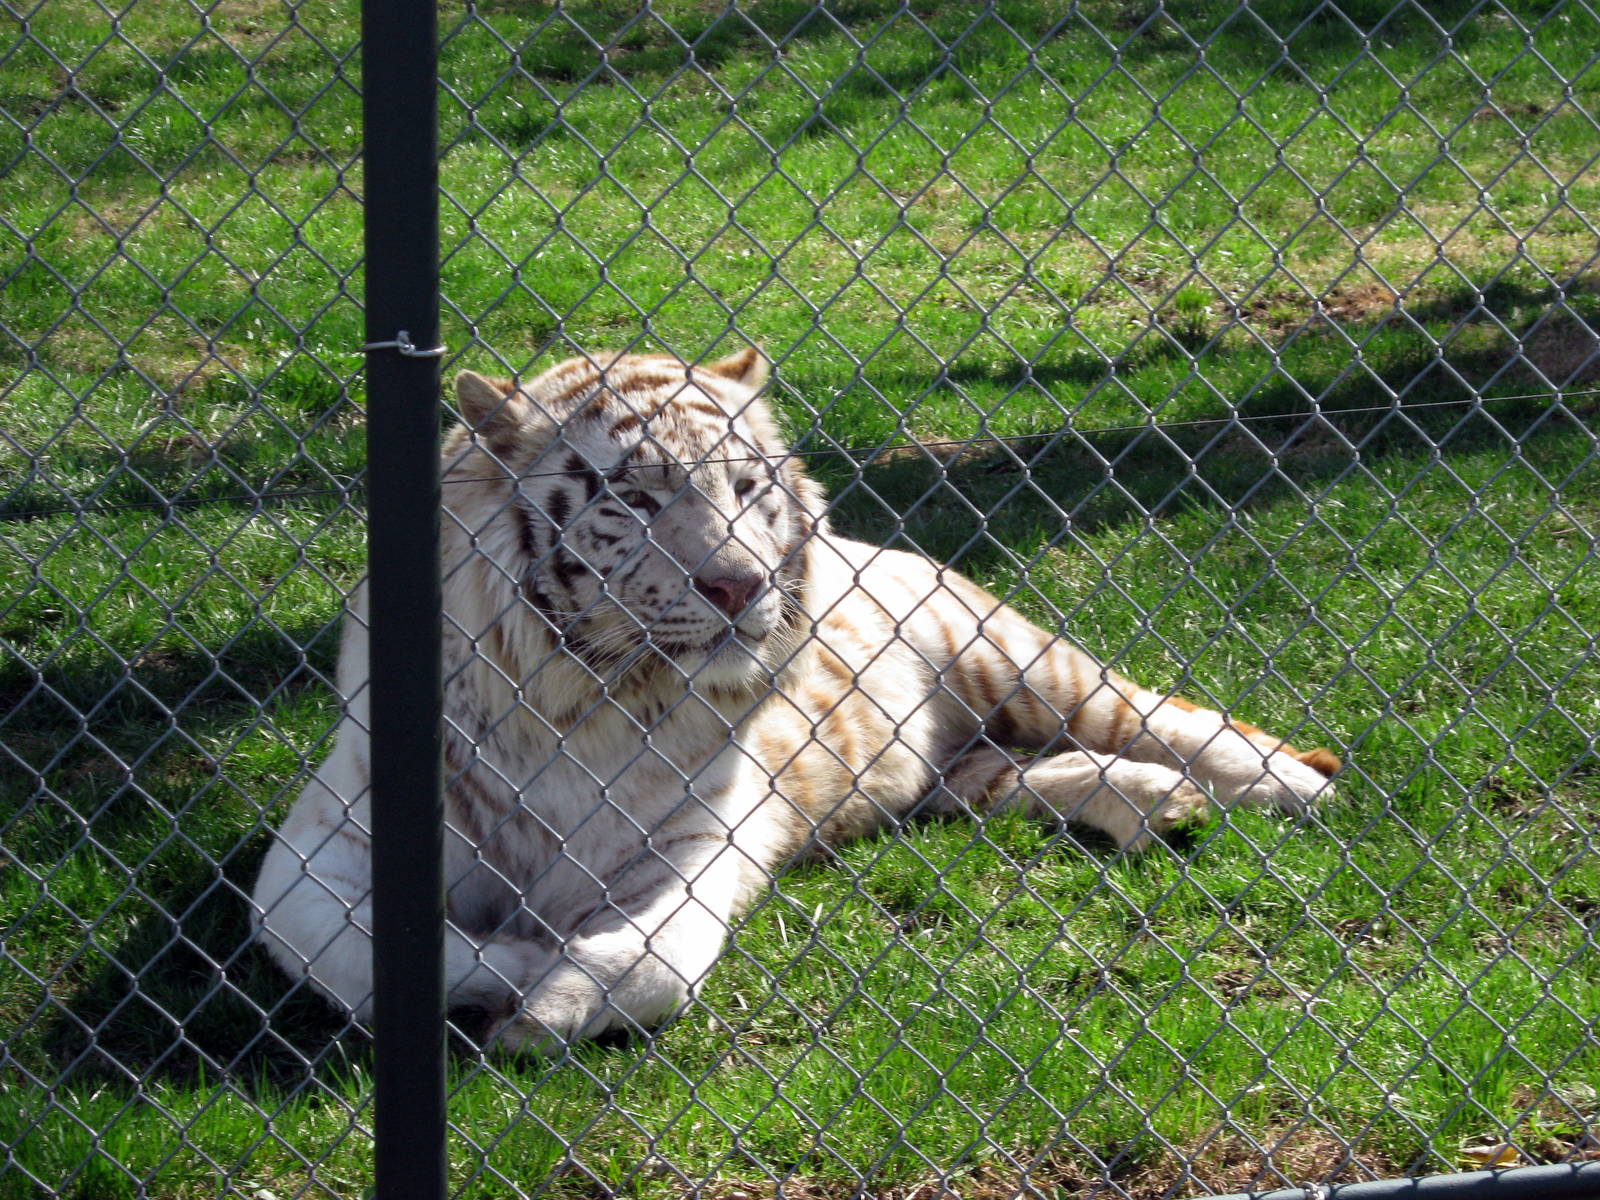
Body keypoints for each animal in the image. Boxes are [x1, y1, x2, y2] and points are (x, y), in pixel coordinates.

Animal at [252, 347, 1339, 1052]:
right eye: (634, 500)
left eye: (744, 488)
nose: (737, 585)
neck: (583, 700)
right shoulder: (315, 853)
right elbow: (363, 951)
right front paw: (520, 968)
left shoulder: (695, 840)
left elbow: (659, 956)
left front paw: (553, 999)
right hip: (955, 772)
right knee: (1037, 771)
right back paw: (1159, 806)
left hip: (1018, 660)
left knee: (1158, 714)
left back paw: (1284, 782)